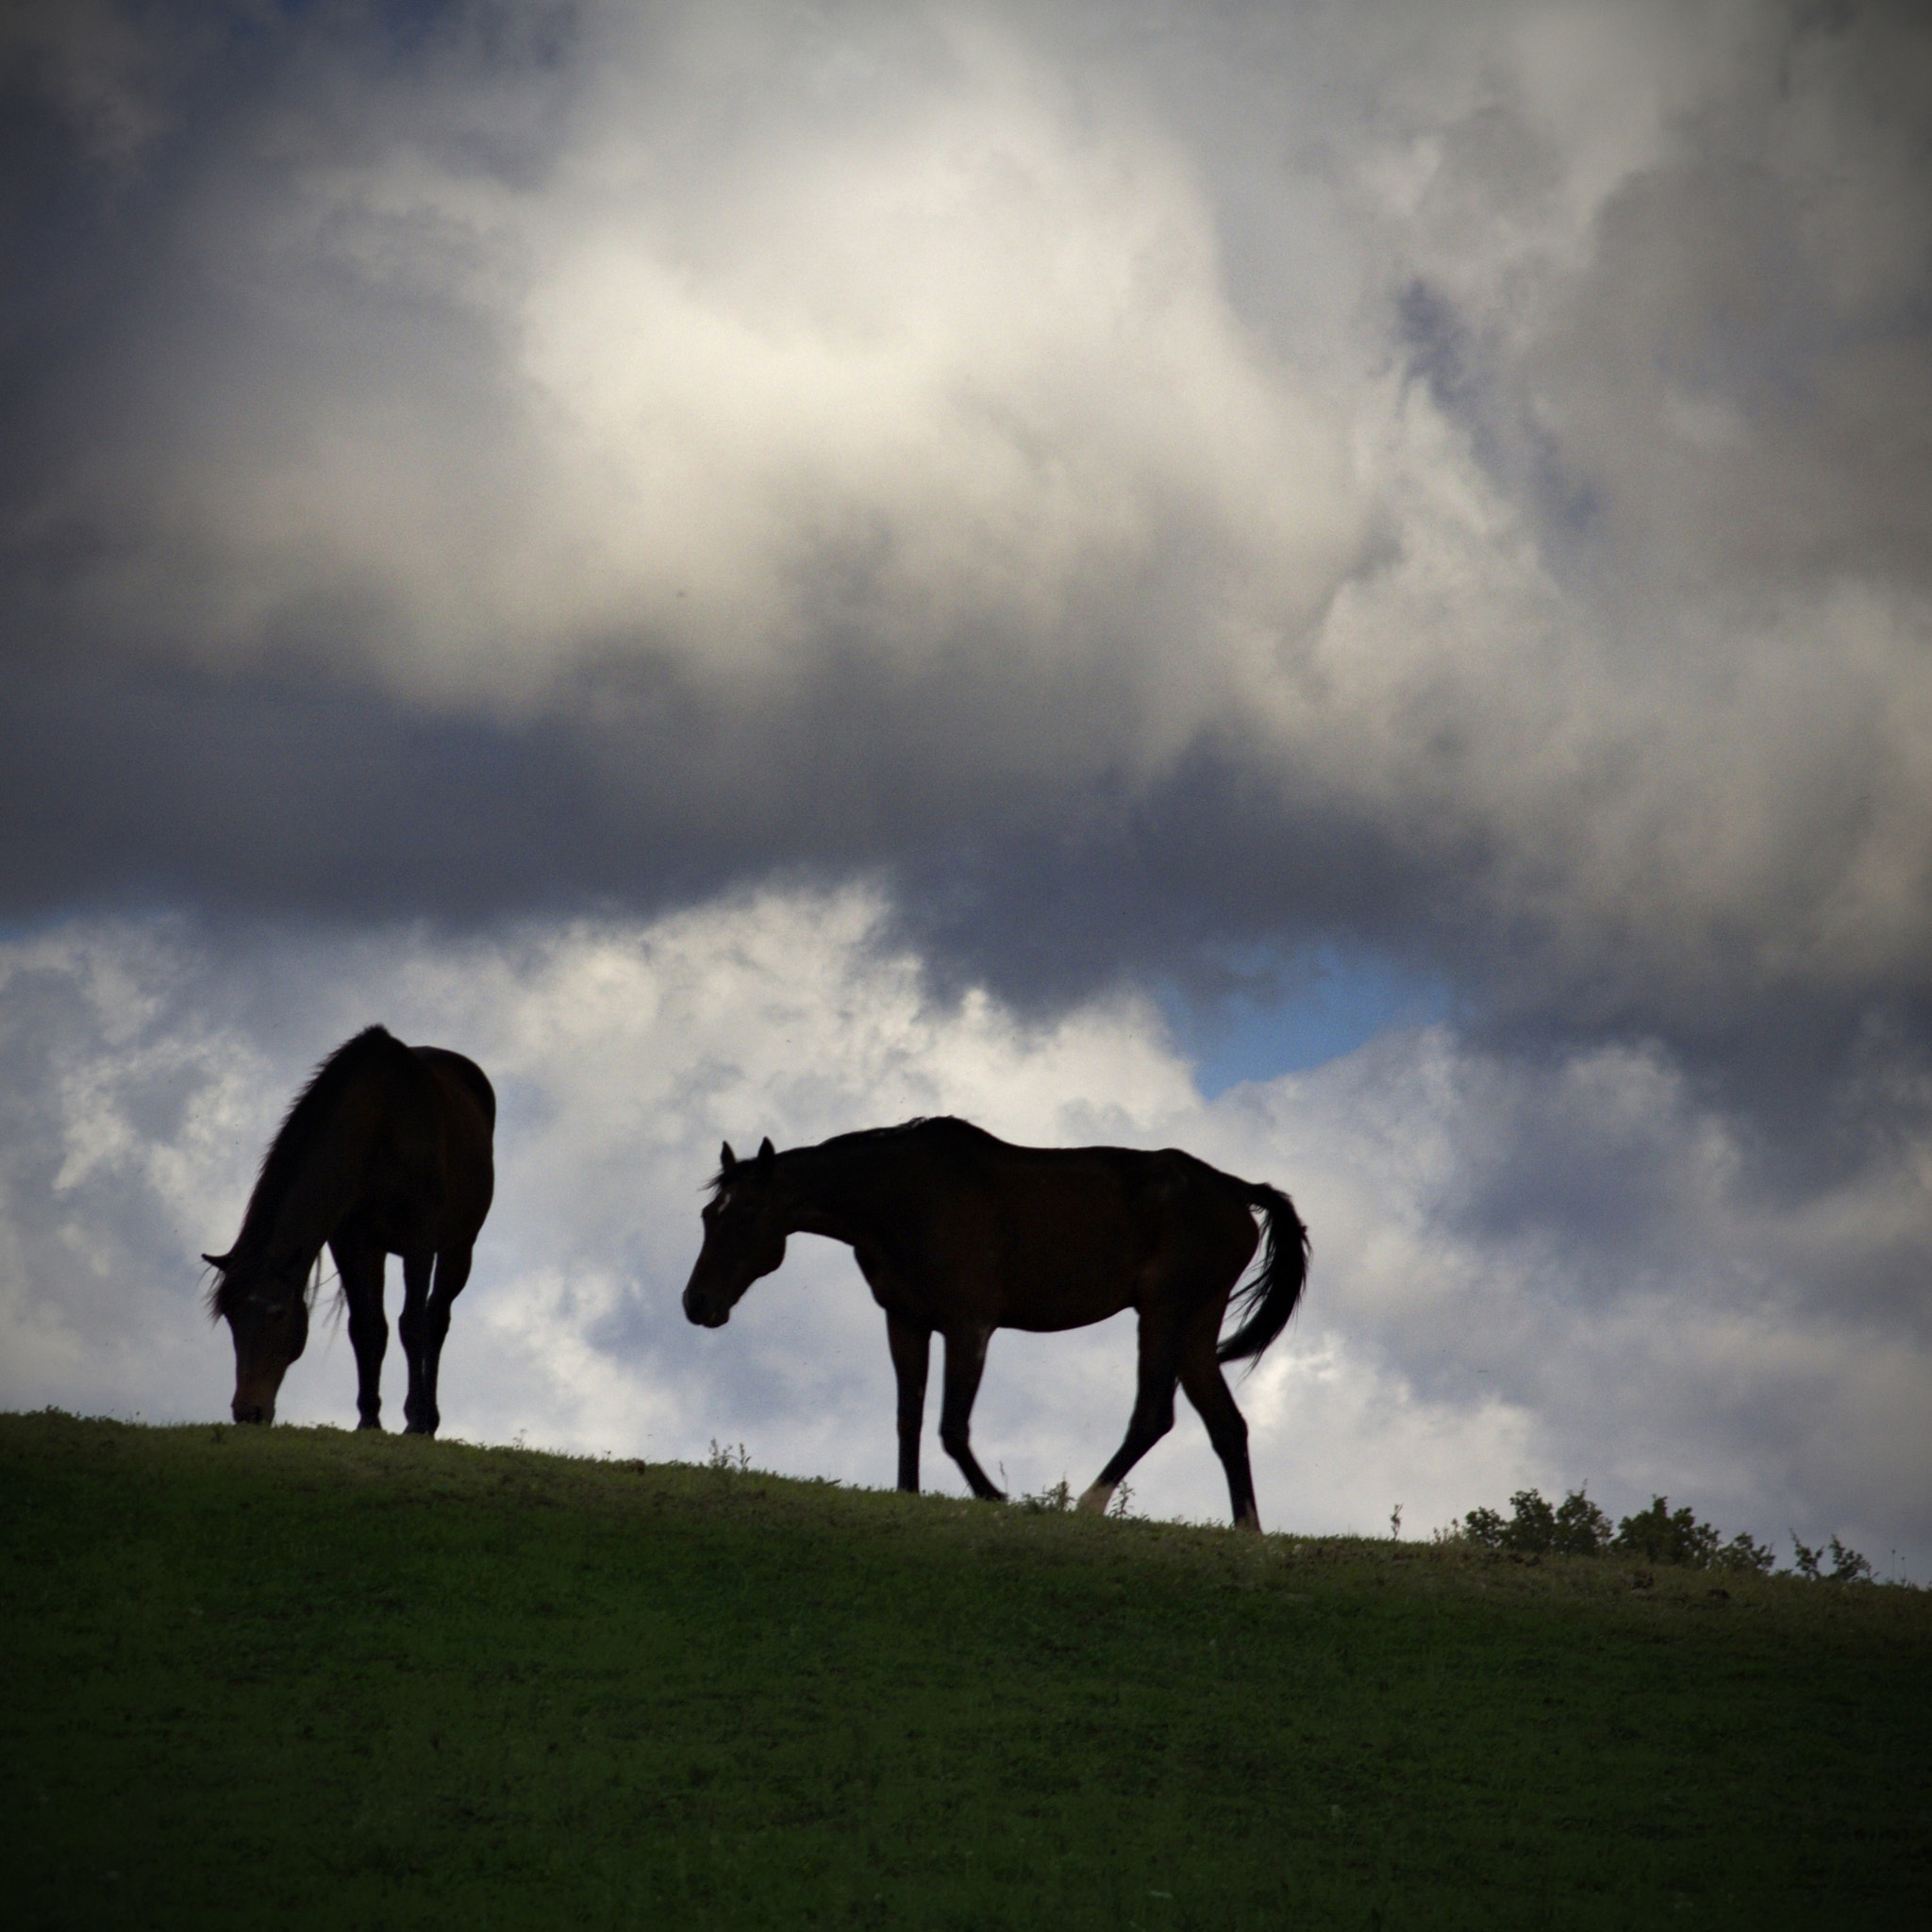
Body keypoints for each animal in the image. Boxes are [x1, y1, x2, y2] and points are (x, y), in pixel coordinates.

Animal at [203, 1025, 496, 1434]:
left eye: (277, 1312)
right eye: (230, 1316)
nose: (248, 1412)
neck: (380, 1125)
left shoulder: (419, 1242)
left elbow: (412, 1325)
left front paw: (414, 1420)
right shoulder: (352, 1244)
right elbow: (366, 1327)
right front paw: (369, 1419)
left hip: (459, 1246)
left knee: (436, 1319)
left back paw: (429, 1419)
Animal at [682, 1117, 1308, 1531]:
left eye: (749, 1213)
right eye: (708, 1214)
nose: (697, 1303)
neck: (904, 1197)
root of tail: (1237, 1190)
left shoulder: (969, 1326)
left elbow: (952, 1427)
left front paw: (993, 1495)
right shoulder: (906, 1321)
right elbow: (908, 1418)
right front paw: (908, 1493)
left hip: (1164, 1314)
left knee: (1153, 1416)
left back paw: (1087, 1505)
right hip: (1195, 1325)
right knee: (1226, 1426)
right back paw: (1247, 1533)